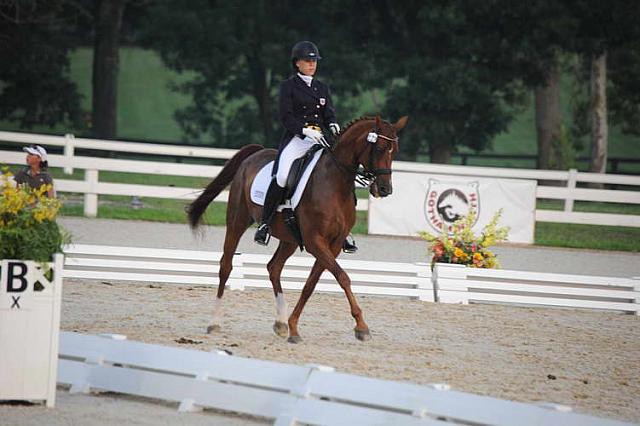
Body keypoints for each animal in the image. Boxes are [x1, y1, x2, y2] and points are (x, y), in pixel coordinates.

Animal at [186, 115, 404, 342]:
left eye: (394, 151)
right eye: (379, 148)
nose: (384, 189)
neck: (334, 184)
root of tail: (256, 153)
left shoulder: (333, 245)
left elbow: (311, 284)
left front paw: (293, 326)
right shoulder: (314, 241)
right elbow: (343, 277)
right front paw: (361, 327)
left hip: (289, 238)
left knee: (274, 268)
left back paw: (281, 323)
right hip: (237, 222)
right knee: (226, 266)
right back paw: (214, 322)